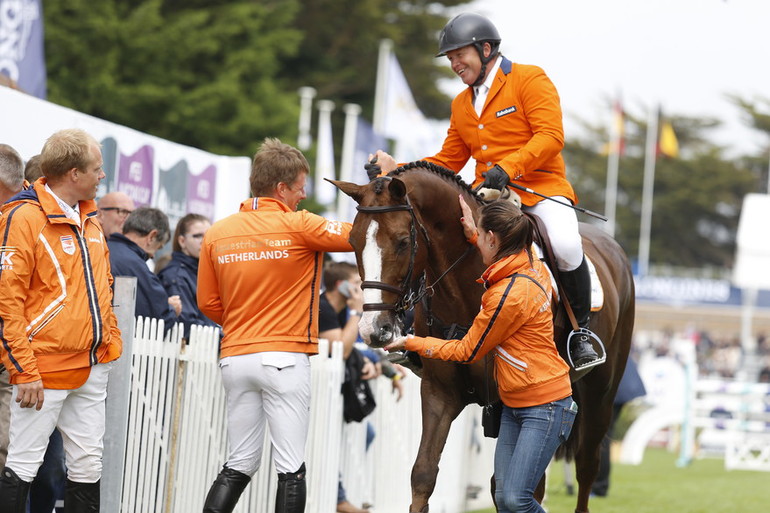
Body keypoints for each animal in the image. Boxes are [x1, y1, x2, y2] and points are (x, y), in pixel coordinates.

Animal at [332, 161, 632, 512]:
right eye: (352, 241)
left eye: (403, 241)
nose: (373, 328)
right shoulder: (439, 394)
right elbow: (423, 474)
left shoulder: (511, 403)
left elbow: (512, 485)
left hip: (601, 394)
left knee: (586, 466)